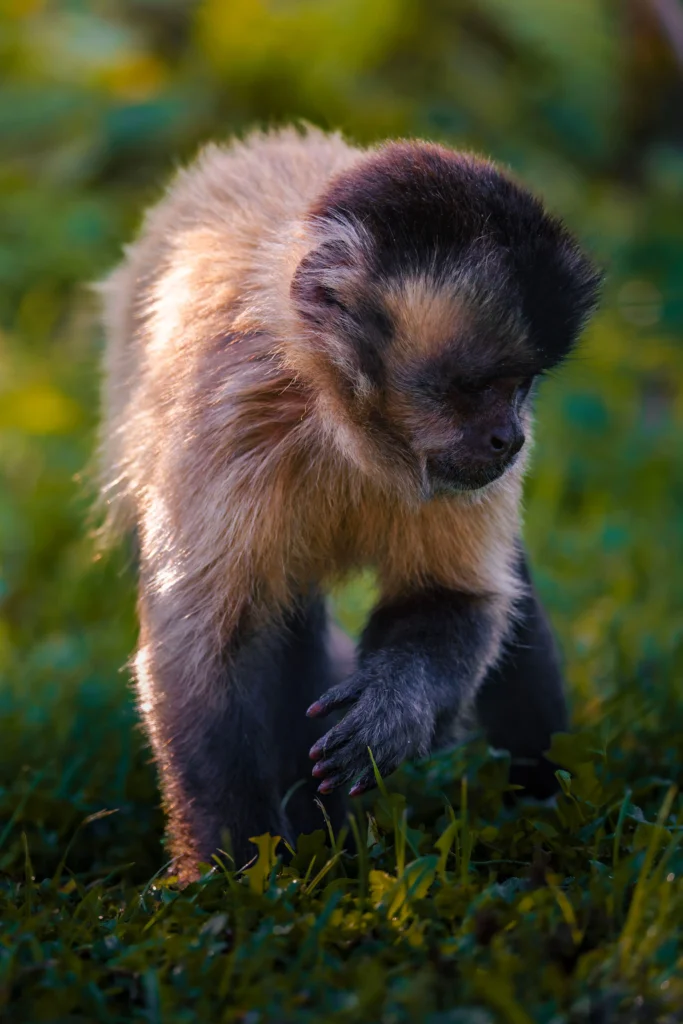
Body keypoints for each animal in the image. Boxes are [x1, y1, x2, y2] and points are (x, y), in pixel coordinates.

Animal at [97, 126, 601, 881]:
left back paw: (539, 812)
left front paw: (395, 711)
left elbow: (454, 599)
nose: (509, 438)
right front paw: (230, 878)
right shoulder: (229, 417)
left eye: (522, 384)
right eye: (470, 387)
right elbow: (199, 660)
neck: (333, 413)